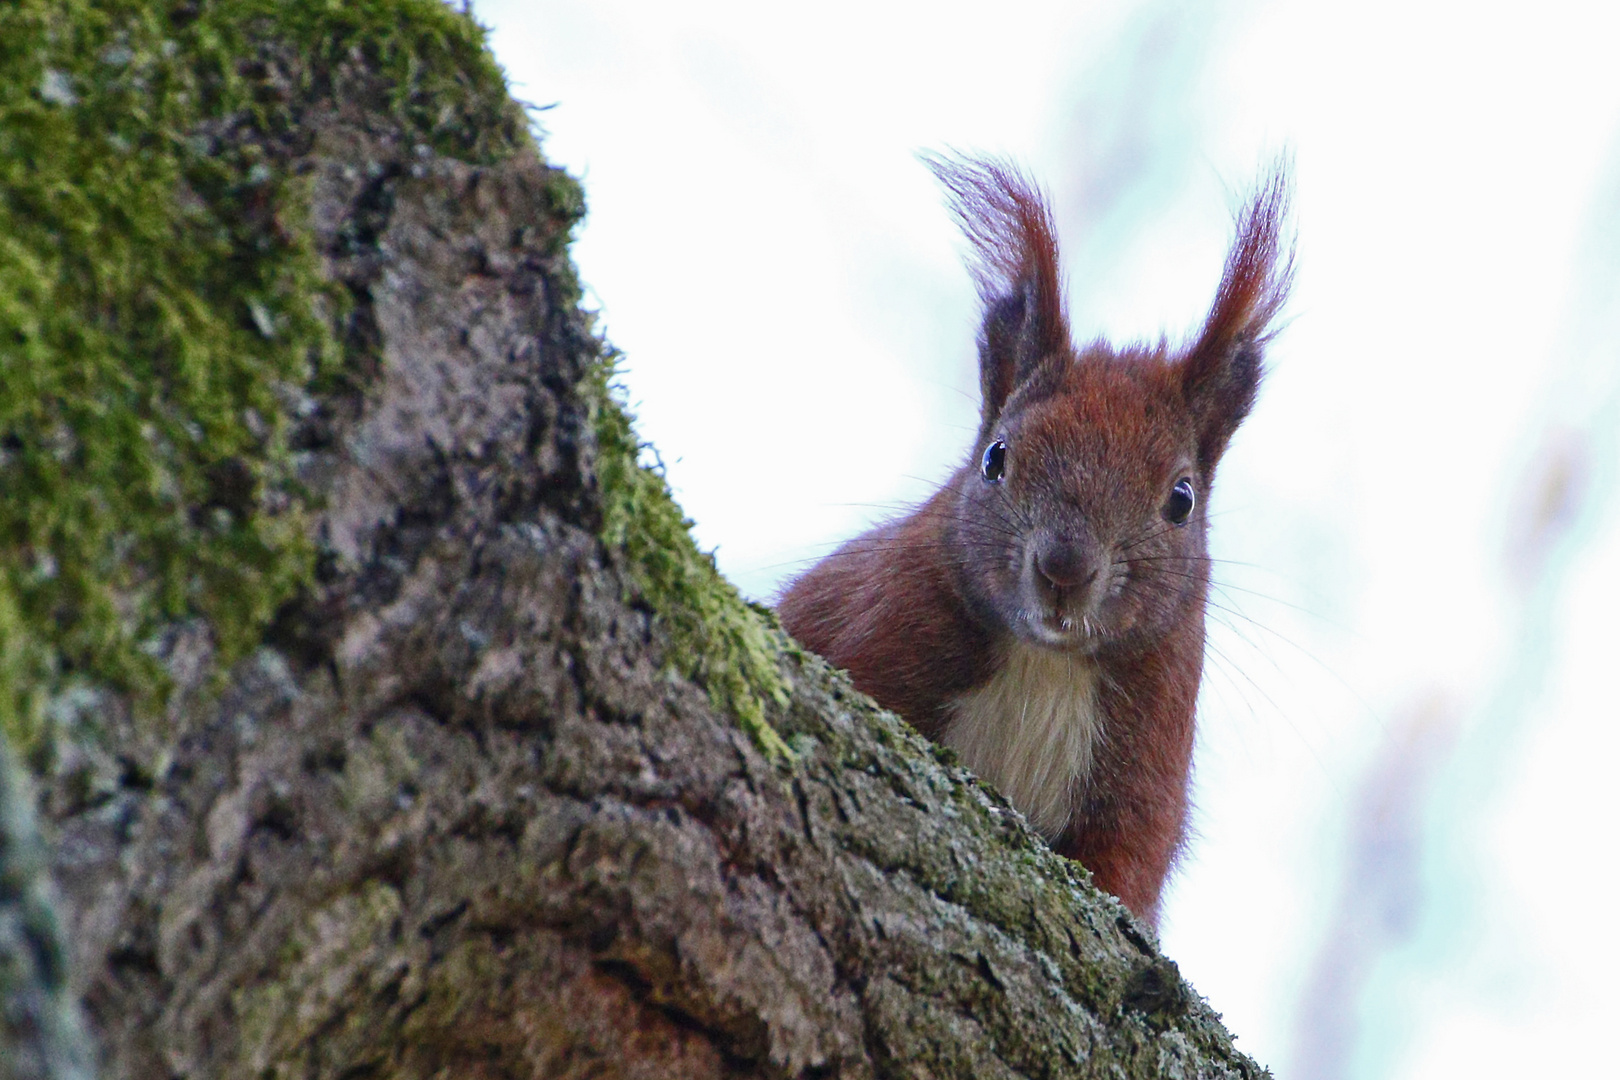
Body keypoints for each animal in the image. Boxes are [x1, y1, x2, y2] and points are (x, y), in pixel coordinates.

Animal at [774, 156, 1289, 926]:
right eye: (995, 458)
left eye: (1182, 499)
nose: (1064, 569)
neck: (1046, 661)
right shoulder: (873, 628)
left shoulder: (1145, 768)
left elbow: (1123, 865)